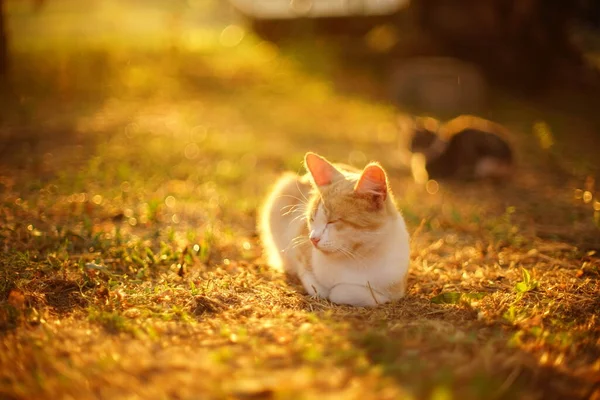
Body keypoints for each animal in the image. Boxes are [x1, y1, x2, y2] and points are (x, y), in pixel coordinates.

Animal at [260, 152, 410, 306]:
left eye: (332, 221)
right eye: (312, 219)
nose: (313, 239)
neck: (357, 258)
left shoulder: (395, 289)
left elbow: (347, 292)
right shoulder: (299, 246)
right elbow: (315, 284)